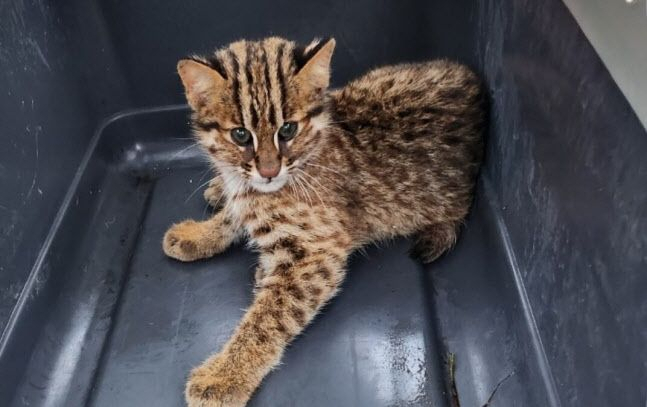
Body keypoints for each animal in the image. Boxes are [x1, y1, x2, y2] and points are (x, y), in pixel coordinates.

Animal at [165, 37, 484, 407]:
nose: (269, 171)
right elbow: (236, 212)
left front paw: (225, 375)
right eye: (241, 135)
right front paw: (200, 233)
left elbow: (269, 316)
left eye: (288, 129)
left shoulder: (319, 252)